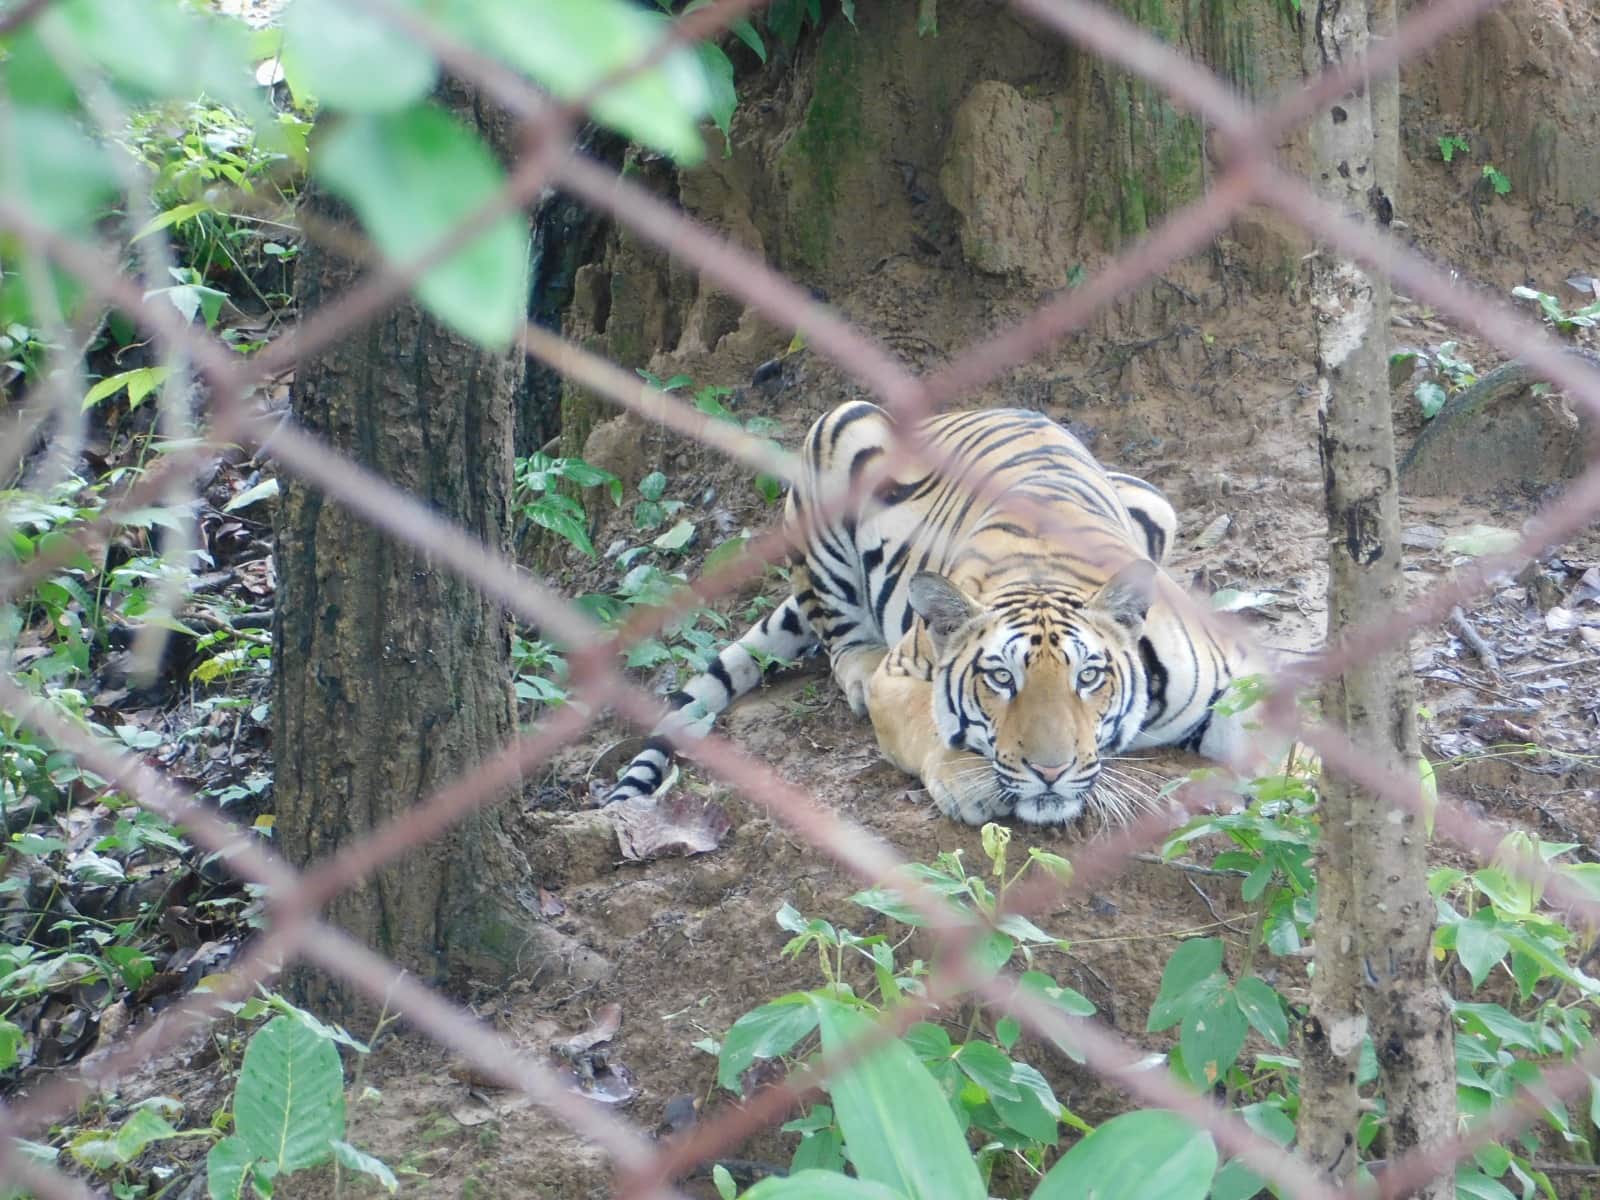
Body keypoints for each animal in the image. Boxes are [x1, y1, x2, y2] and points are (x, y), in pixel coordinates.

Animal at [603, 402, 1269, 826]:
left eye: (1089, 677)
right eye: (1000, 678)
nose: (1050, 772)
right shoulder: (899, 676)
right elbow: (926, 720)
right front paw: (966, 779)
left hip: (1153, 499)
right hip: (834, 433)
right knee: (840, 639)